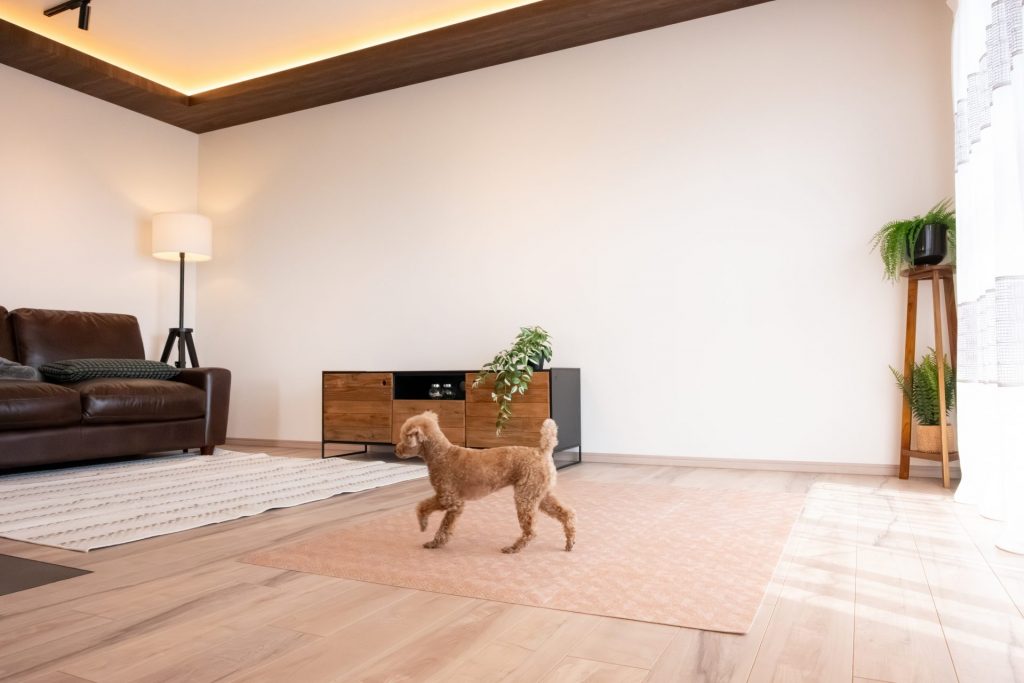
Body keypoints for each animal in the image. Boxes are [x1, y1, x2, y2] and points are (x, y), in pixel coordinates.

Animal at [395, 411, 576, 554]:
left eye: (404, 437)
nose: (396, 450)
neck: (441, 455)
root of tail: (542, 451)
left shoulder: (450, 500)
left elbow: (428, 511)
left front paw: (427, 531)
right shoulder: (451, 502)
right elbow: (434, 515)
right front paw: (432, 535)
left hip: (526, 496)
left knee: (530, 531)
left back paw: (513, 548)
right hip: (540, 494)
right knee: (567, 513)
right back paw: (570, 542)